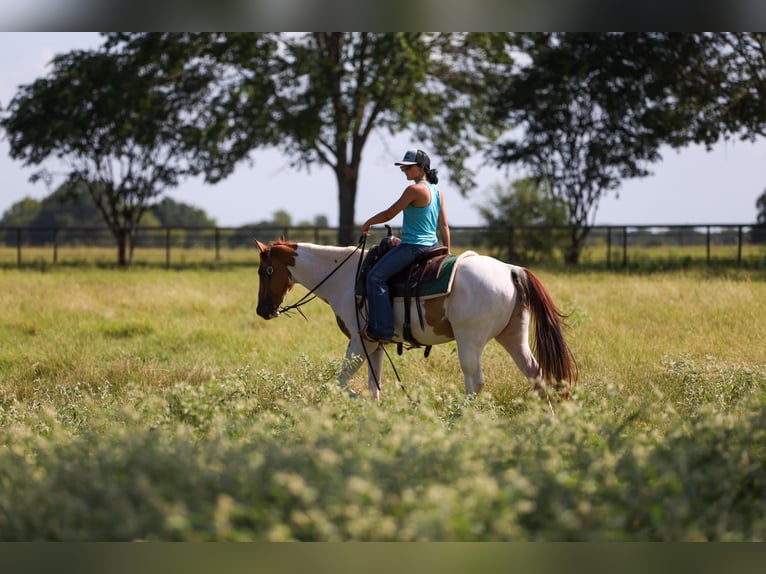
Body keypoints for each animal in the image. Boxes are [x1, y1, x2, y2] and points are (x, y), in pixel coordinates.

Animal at [254, 238, 577, 401]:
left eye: (264, 271)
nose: (262, 311)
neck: (345, 276)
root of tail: (511, 270)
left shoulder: (359, 342)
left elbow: (341, 381)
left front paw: (354, 400)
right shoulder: (375, 344)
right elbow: (374, 386)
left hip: (470, 341)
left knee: (475, 381)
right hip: (513, 336)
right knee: (536, 375)